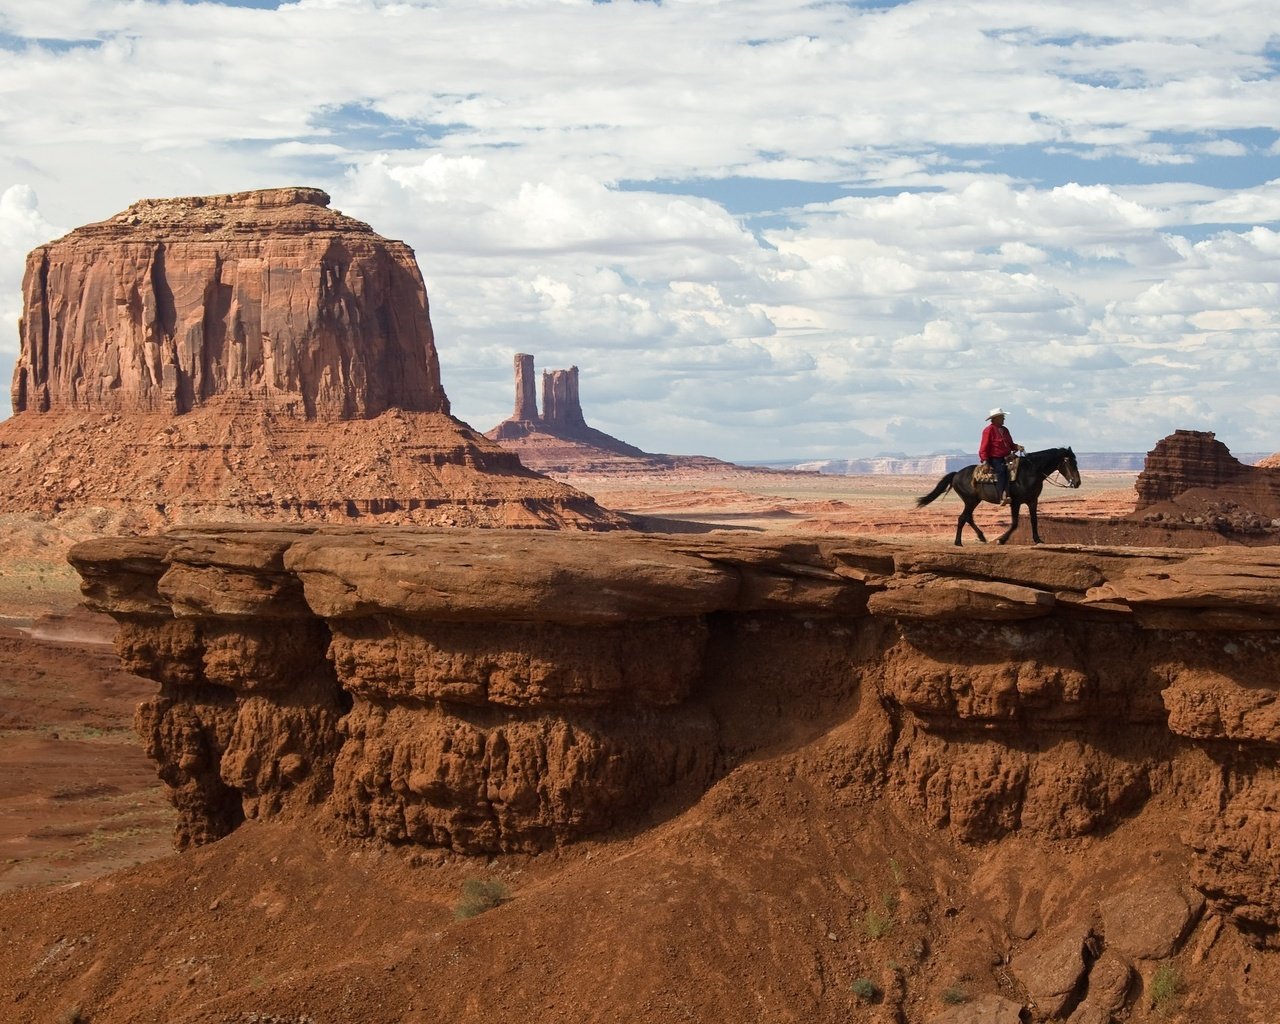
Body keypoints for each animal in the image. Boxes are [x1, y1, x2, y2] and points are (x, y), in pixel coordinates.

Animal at [916, 445, 1085, 547]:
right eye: (1069, 462)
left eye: (1076, 461)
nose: (1077, 482)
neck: (1031, 472)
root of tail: (956, 474)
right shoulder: (1015, 502)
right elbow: (1015, 523)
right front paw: (1002, 540)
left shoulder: (1033, 501)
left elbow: (1034, 520)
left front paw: (1038, 540)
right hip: (970, 500)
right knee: (962, 518)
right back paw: (958, 542)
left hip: (974, 501)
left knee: (967, 517)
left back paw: (981, 537)